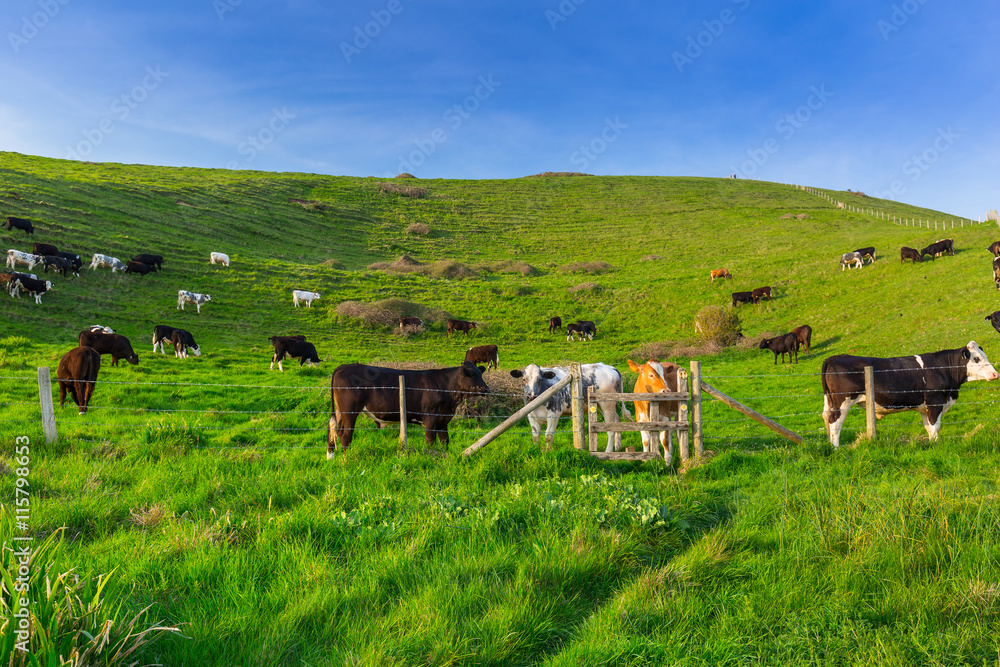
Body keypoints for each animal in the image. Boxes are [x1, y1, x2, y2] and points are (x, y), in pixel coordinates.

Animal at [328, 360, 488, 460]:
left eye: (480, 373)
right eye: (472, 375)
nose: (487, 389)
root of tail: (344, 366)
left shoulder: (443, 420)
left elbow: (445, 441)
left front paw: (444, 457)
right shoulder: (430, 418)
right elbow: (431, 441)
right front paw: (432, 457)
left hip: (339, 410)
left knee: (332, 429)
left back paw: (331, 457)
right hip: (350, 411)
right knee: (345, 434)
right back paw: (347, 458)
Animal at [820, 342, 1000, 446]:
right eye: (976, 358)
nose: (995, 374)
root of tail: (834, 357)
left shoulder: (925, 408)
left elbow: (929, 428)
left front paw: (931, 444)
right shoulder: (935, 402)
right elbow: (936, 427)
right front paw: (937, 445)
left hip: (829, 401)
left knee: (827, 419)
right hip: (842, 401)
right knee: (835, 422)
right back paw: (836, 448)